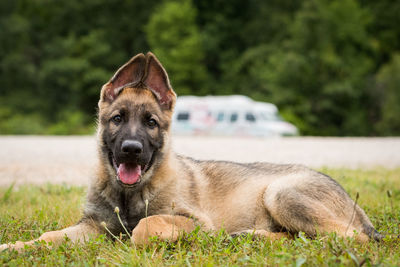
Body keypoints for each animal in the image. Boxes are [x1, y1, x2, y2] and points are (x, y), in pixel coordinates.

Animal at [0, 52, 382, 251]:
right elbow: (49, 237)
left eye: (151, 123)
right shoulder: (92, 225)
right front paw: (15, 249)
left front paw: (138, 241)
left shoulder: (196, 222)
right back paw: (253, 236)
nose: (131, 150)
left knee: (346, 237)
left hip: (280, 192)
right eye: (117, 119)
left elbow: (146, 226)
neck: (130, 194)